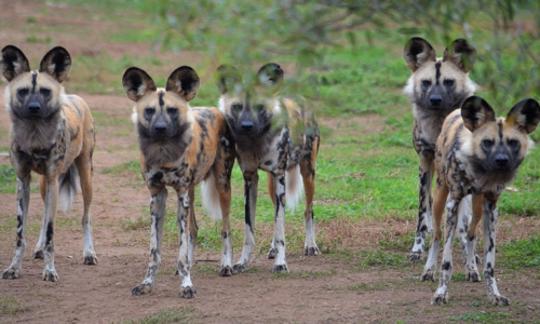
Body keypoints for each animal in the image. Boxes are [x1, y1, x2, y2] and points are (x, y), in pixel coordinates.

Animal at [0, 45, 97, 280]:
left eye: (45, 91)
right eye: (23, 91)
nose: (34, 107)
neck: (35, 135)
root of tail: (73, 96)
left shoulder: (54, 179)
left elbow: (52, 233)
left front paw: (50, 270)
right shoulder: (23, 181)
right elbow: (21, 234)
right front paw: (14, 268)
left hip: (85, 177)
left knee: (86, 217)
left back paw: (89, 253)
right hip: (45, 185)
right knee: (45, 215)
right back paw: (39, 248)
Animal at [123, 66, 235, 298]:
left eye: (172, 110)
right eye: (149, 111)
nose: (160, 128)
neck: (163, 152)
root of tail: (214, 109)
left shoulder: (180, 194)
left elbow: (181, 251)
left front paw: (187, 285)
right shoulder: (157, 196)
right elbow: (154, 251)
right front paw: (147, 283)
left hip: (222, 186)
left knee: (226, 229)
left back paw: (226, 265)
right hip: (190, 193)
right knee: (194, 228)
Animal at [217, 61, 320, 274]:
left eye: (259, 107)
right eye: (237, 107)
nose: (247, 125)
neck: (256, 142)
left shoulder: (280, 176)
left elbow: (280, 228)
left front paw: (281, 263)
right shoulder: (250, 178)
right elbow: (249, 229)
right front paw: (242, 262)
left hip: (307, 174)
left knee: (308, 211)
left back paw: (310, 245)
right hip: (273, 186)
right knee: (277, 211)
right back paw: (273, 249)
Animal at [400, 37, 476, 260]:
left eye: (449, 82)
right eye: (426, 82)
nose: (435, 100)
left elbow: (462, 218)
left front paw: (467, 249)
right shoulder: (425, 161)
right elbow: (422, 209)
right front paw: (417, 247)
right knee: (430, 204)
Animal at [426, 95, 540, 304]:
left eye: (513, 142)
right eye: (487, 142)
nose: (502, 160)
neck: (481, 171)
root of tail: (457, 111)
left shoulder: (491, 208)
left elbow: (489, 262)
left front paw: (494, 294)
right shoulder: (453, 203)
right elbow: (447, 260)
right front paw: (441, 293)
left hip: (478, 207)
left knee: (471, 235)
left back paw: (471, 269)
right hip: (440, 197)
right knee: (436, 235)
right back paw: (428, 270)